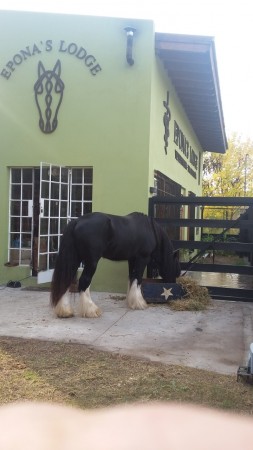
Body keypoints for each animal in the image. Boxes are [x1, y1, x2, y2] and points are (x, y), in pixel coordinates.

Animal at [51, 213, 180, 318]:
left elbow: (131, 277)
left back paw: (64, 311)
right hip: (91, 261)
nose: (171, 286)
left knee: (66, 281)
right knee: (84, 281)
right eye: (176, 268)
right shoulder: (142, 258)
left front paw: (131, 301)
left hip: (75, 259)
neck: (150, 228)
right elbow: (138, 279)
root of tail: (77, 221)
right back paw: (91, 310)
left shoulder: (132, 259)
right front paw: (139, 303)